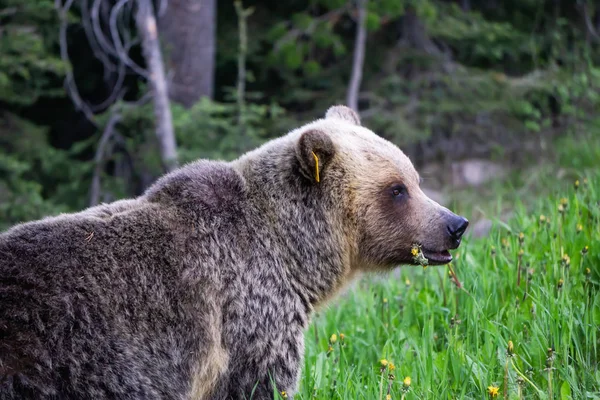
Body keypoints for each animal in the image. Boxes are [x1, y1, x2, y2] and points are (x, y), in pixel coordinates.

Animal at [0, 104, 468, 398]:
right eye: (397, 189)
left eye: (415, 178)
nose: (455, 225)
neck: (292, 256)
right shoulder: (248, 319)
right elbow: (258, 384)